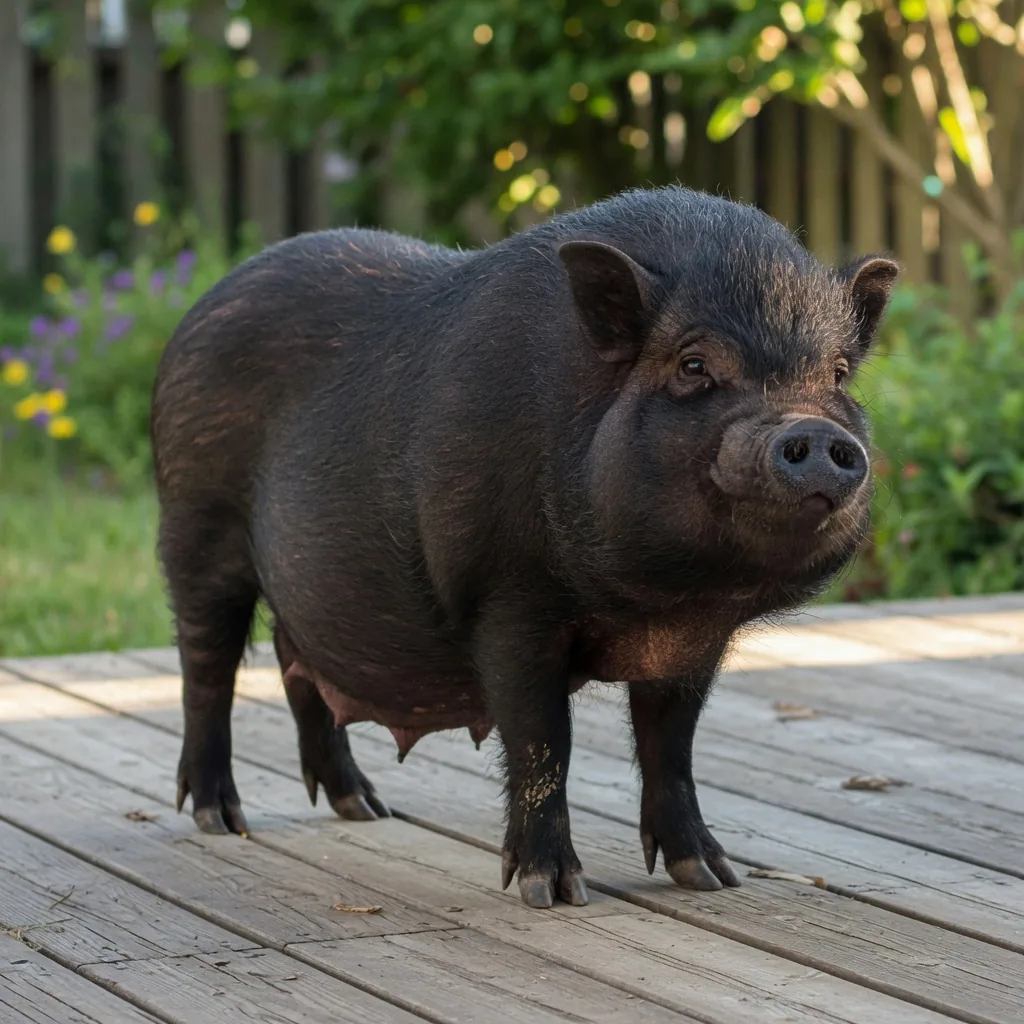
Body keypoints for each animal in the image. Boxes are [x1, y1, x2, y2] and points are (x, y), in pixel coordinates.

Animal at [151, 186, 898, 909]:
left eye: (837, 374)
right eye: (694, 364)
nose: (813, 431)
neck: (659, 601)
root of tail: (198, 310)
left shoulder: (692, 643)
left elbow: (672, 744)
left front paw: (711, 877)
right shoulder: (508, 596)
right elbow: (542, 739)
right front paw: (553, 893)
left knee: (293, 659)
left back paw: (364, 807)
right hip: (194, 519)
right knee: (207, 666)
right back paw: (221, 819)